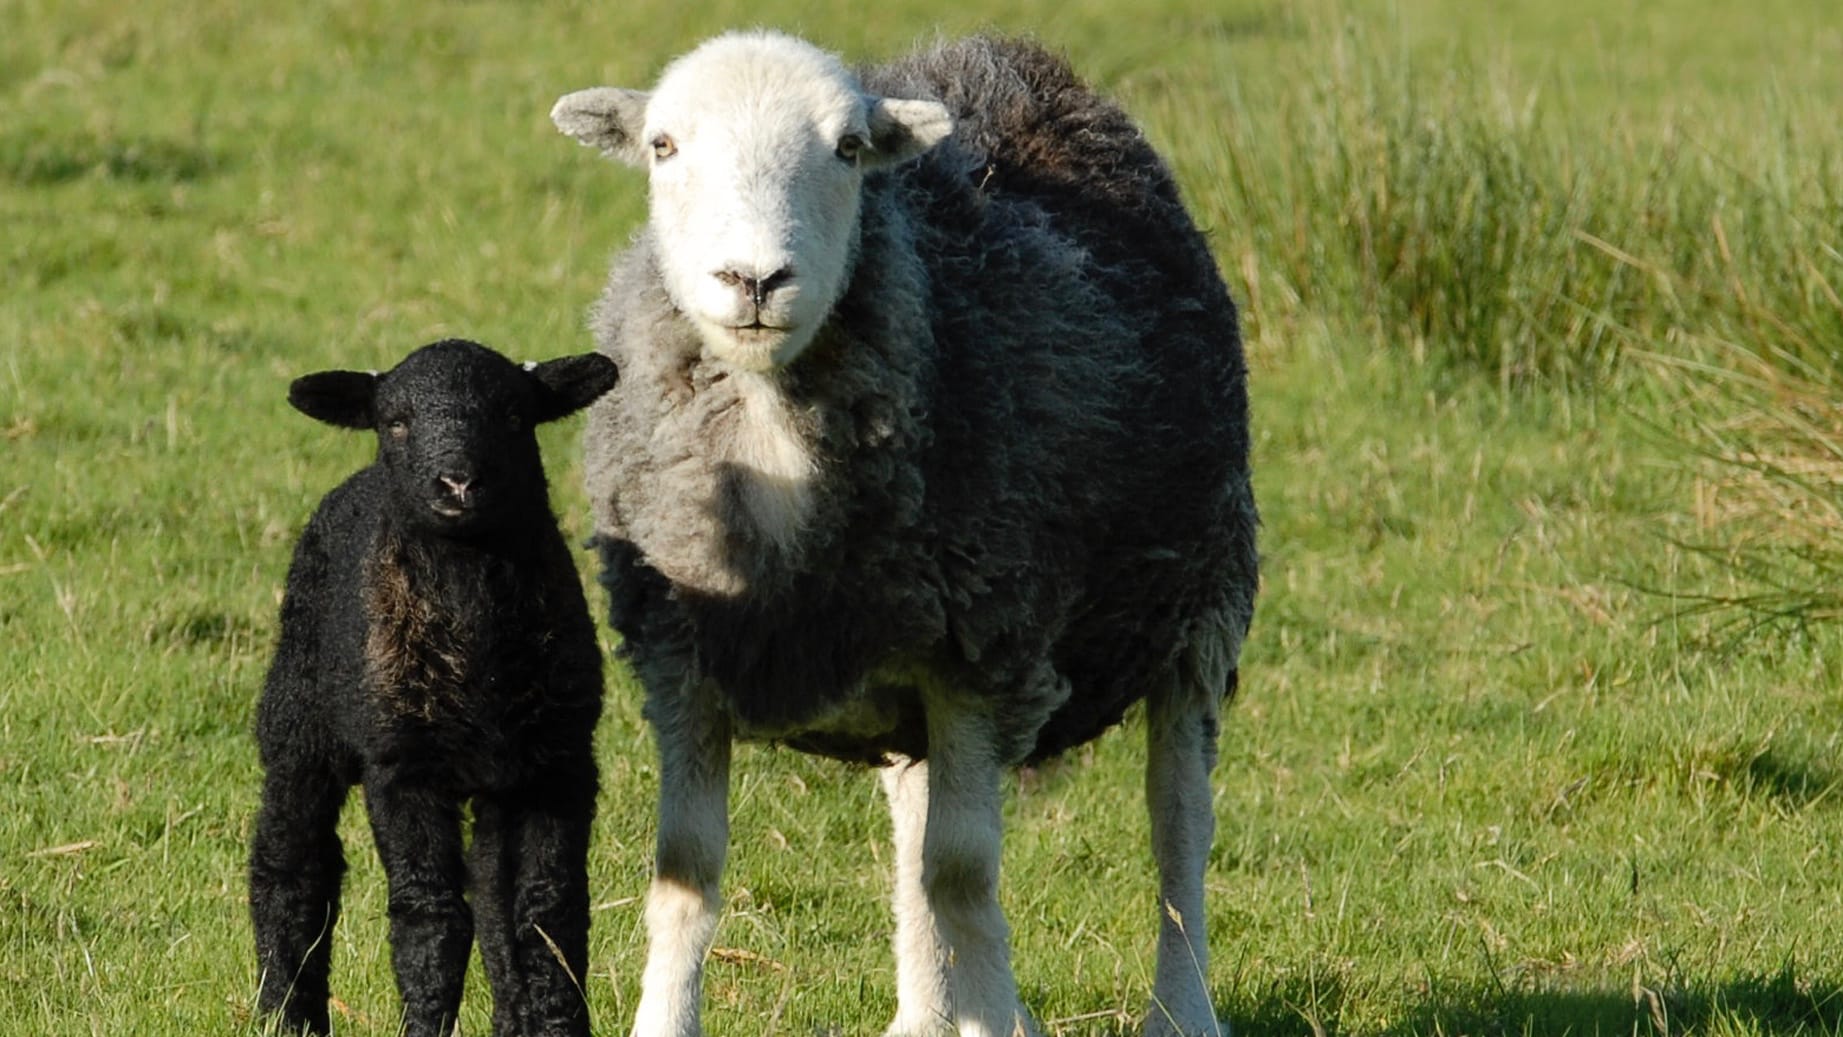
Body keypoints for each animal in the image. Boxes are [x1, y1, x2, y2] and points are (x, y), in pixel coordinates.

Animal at [248, 340, 622, 1037]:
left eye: (513, 415)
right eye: (396, 421)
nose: (456, 483)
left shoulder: (559, 764)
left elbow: (548, 915)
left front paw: (558, 1023)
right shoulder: (402, 767)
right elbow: (429, 917)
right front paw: (422, 1024)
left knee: (496, 896)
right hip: (298, 718)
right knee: (292, 861)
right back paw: (287, 1012)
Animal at [552, 30, 1260, 1037]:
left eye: (848, 149)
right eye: (662, 146)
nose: (753, 280)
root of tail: (1011, 58)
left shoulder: (985, 652)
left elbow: (964, 875)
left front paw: (999, 1013)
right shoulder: (680, 659)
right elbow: (685, 873)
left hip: (1201, 598)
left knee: (1178, 822)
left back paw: (1179, 1008)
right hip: (910, 663)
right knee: (915, 821)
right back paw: (927, 1013)